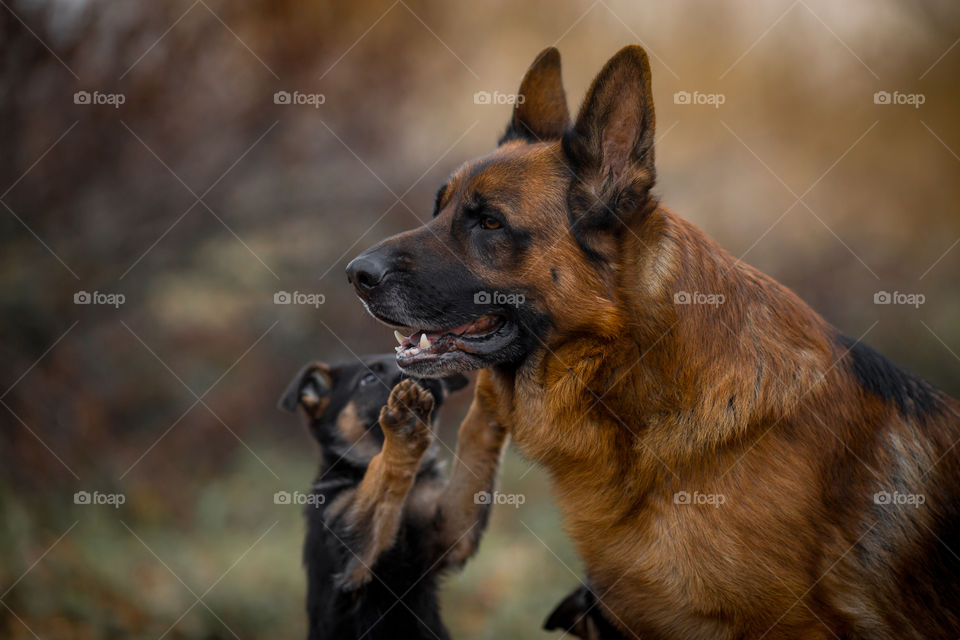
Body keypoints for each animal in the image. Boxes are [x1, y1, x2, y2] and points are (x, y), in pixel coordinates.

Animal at [280, 356, 510, 640]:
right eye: (367, 379)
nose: (422, 377)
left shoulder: (449, 529)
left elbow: (474, 438)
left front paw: (491, 390)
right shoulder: (352, 551)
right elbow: (382, 471)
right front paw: (404, 425)